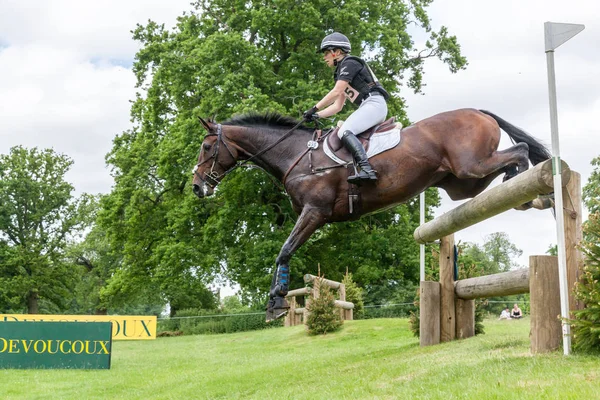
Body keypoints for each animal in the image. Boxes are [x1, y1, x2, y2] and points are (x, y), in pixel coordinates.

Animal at [193, 108, 552, 320]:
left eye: (207, 148)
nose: (197, 187)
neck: (294, 154)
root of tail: (477, 111)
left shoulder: (315, 212)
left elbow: (284, 251)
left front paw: (277, 303)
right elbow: (284, 252)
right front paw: (274, 303)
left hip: (470, 166)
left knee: (519, 151)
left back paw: (534, 189)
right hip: (462, 183)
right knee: (503, 164)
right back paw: (523, 192)